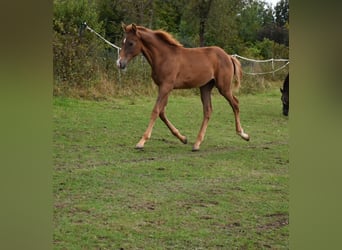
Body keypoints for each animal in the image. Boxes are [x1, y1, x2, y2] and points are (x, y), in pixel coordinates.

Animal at [117, 23, 248, 151]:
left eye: (131, 43)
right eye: (122, 42)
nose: (120, 63)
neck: (164, 57)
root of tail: (228, 56)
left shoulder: (166, 86)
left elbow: (155, 111)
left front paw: (141, 142)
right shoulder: (164, 87)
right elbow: (162, 112)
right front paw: (183, 138)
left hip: (223, 87)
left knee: (235, 104)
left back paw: (243, 134)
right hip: (205, 87)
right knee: (208, 110)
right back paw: (197, 143)